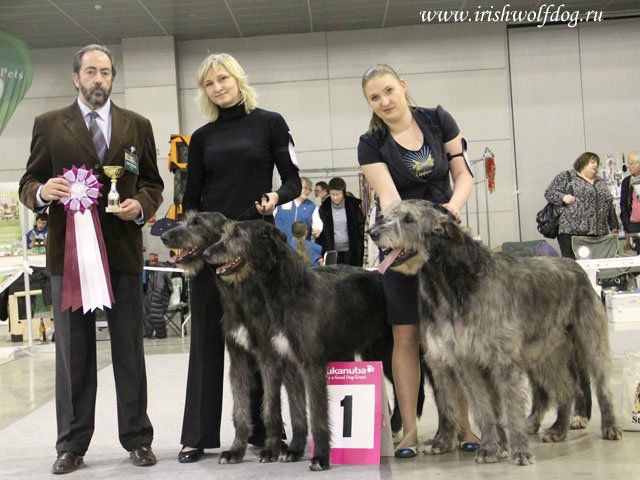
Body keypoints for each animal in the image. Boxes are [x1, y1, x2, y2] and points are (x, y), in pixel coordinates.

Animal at [368, 199, 624, 464]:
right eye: (385, 215)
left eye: (408, 219)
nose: (372, 232)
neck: (454, 283)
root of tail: (575, 265)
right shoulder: (462, 360)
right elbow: (481, 408)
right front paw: (490, 446)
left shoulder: (502, 360)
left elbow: (510, 409)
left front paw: (519, 450)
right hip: (546, 353)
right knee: (566, 389)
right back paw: (558, 429)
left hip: (589, 341)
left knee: (601, 385)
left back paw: (610, 426)